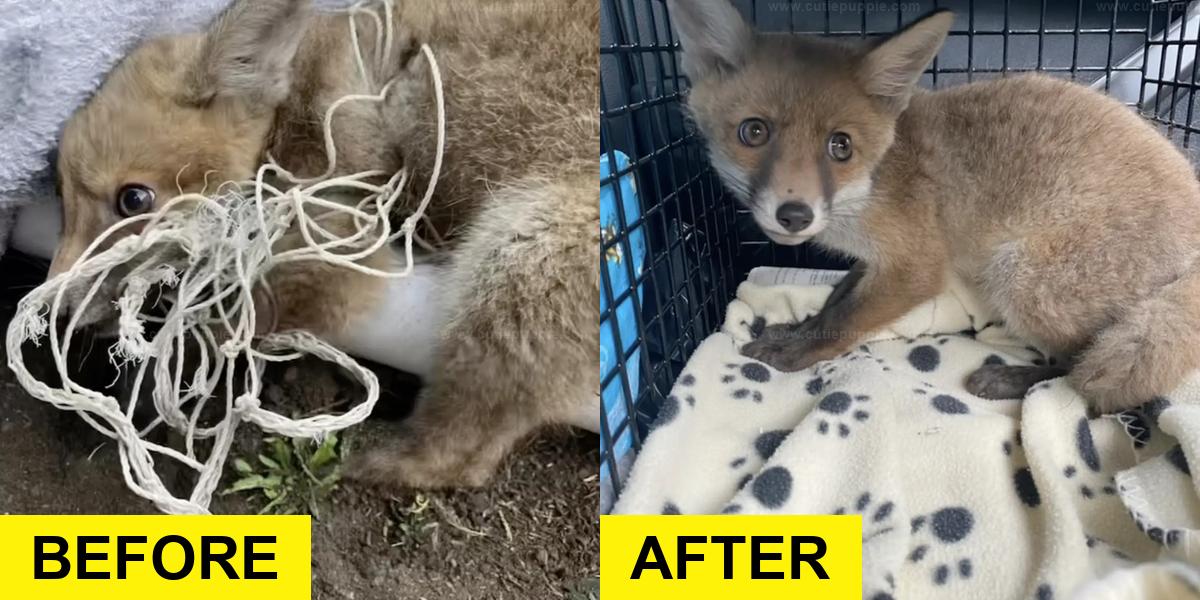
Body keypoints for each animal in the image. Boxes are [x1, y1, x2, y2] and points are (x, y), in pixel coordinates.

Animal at [48, 0, 600, 487]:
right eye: (62, 199)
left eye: (133, 199)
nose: (52, 312)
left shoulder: (336, 230)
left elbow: (233, 312)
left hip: (519, 253)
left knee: (465, 458)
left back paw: (369, 456)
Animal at [672, 0, 1200, 412]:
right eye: (753, 132)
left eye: (840, 146)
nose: (795, 214)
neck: (873, 182)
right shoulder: (874, 262)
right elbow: (834, 302)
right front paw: (795, 331)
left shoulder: (917, 266)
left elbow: (845, 322)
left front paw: (798, 356)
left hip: (1021, 277)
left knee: (1077, 364)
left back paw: (1014, 381)